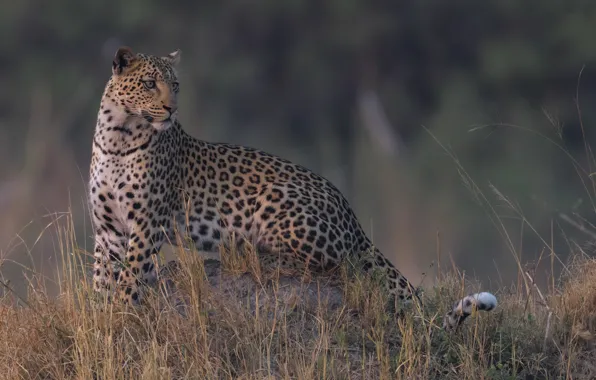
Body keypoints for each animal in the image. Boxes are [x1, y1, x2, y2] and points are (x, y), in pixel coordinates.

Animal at [89, 46, 498, 330]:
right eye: (149, 84)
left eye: (175, 85)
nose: (171, 109)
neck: (119, 136)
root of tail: (353, 218)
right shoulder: (108, 230)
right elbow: (100, 278)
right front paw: (99, 315)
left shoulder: (147, 224)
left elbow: (129, 276)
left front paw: (119, 313)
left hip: (276, 200)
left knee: (324, 264)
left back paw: (254, 253)